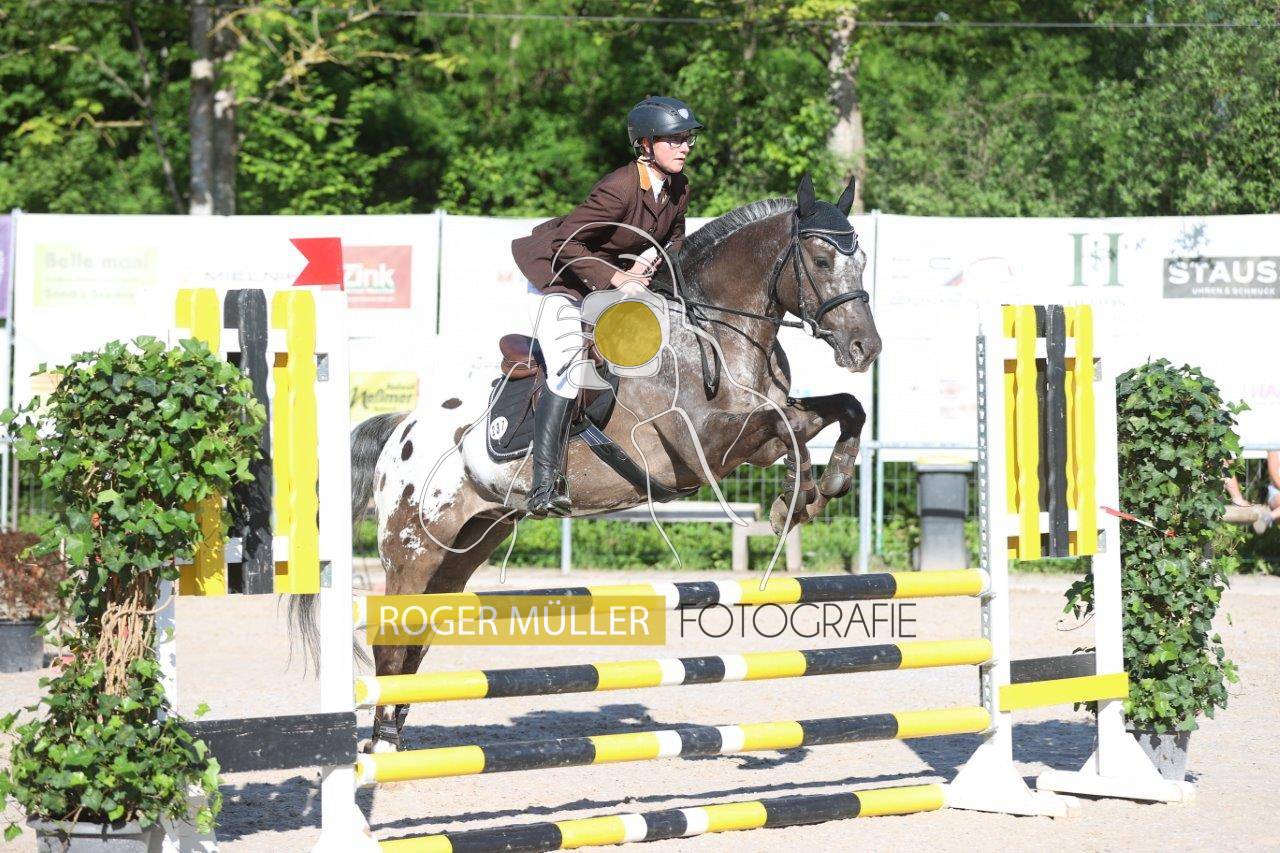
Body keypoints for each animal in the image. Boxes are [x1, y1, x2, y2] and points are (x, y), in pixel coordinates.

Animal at [313, 174, 881, 750]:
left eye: (861, 260)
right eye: (821, 260)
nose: (866, 348)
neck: (714, 332)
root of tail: (401, 431)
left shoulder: (755, 432)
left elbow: (841, 409)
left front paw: (830, 481)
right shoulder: (705, 445)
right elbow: (785, 429)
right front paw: (796, 498)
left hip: (466, 545)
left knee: (416, 639)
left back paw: (393, 739)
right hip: (413, 548)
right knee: (392, 640)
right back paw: (382, 744)